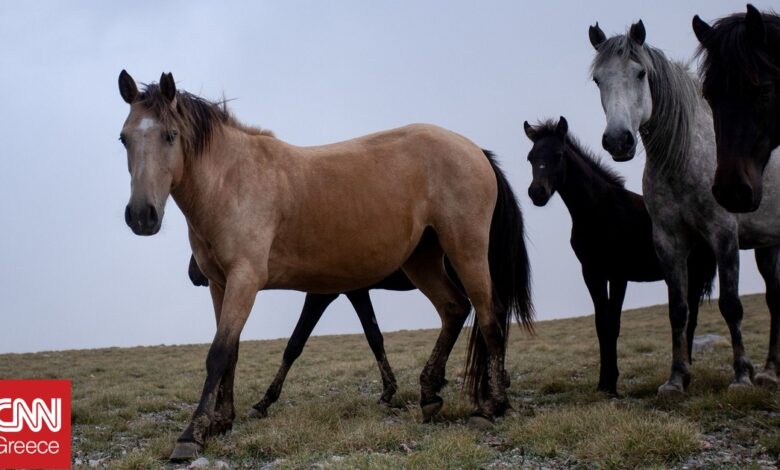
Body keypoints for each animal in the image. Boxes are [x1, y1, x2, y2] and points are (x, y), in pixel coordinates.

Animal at [119, 71, 532, 460]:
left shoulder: (246, 281)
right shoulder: (222, 285)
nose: (141, 215)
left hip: (466, 250)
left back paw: (491, 407)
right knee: (454, 308)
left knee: (489, 317)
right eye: (124, 139)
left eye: (170, 135)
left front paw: (192, 434)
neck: (234, 180)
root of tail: (474, 150)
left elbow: (219, 353)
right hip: (423, 259)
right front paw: (222, 421)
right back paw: (430, 394)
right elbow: (232, 352)